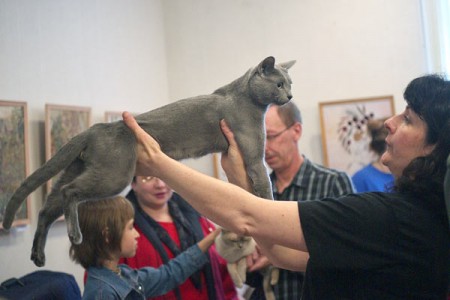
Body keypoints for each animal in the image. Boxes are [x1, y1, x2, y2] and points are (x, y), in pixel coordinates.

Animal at [0, 55, 296, 266]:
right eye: (279, 84)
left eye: (290, 84)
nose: (290, 96)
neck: (249, 100)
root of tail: (94, 129)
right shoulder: (254, 155)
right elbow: (263, 184)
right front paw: (271, 207)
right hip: (114, 174)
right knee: (68, 192)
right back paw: (74, 235)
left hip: (77, 169)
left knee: (47, 207)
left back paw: (38, 255)